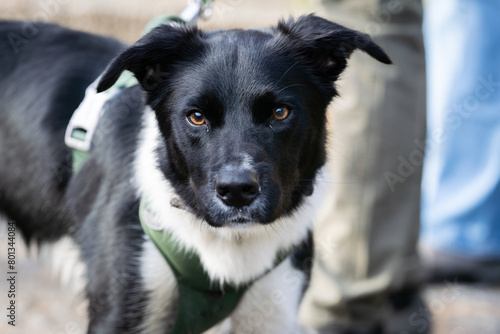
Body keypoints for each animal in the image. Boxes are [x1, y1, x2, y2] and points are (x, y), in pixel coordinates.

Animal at [0, 15, 390, 334]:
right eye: (196, 117)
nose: (236, 191)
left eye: (280, 112)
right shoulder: (120, 315)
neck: (229, 244)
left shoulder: (274, 316)